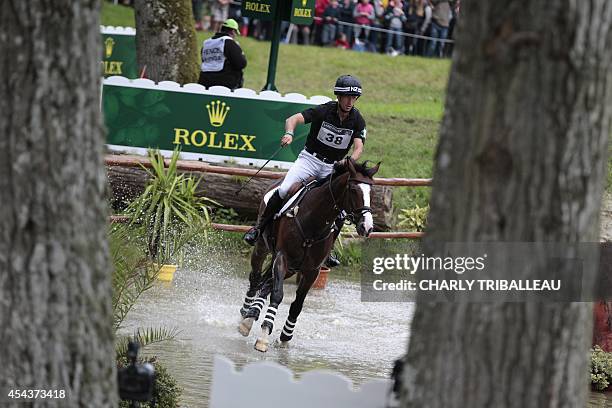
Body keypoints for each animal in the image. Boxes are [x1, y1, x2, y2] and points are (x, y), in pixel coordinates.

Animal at [237, 158, 380, 352]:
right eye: (352, 190)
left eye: (371, 192)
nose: (367, 227)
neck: (314, 219)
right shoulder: (283, 258)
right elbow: (277, 295)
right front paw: (264, 335)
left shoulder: (312, 270)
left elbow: (297, 305)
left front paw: (285, 337)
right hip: (262, 247)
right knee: (256, 278)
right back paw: (245, 317)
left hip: (291, 267)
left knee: (266, 283)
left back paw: (252, 314)